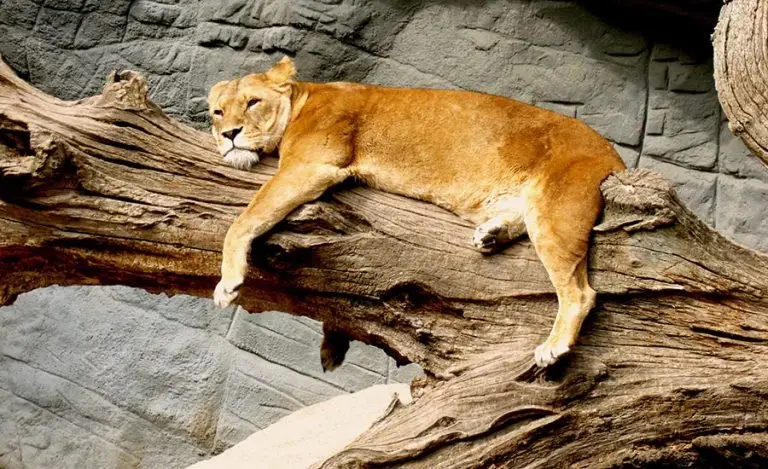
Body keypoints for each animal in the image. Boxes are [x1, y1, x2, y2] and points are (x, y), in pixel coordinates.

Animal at [208, 56, 626, 369]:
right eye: (217, 112)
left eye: (252, 103)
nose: (229, 135)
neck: (303, 99)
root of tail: (615, 156)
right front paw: (332, 346)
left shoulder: (312, 165)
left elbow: (246, 218)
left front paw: (228, 283)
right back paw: (491, 235)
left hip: (556, 210)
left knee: (580, 292)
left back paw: (554, 347)